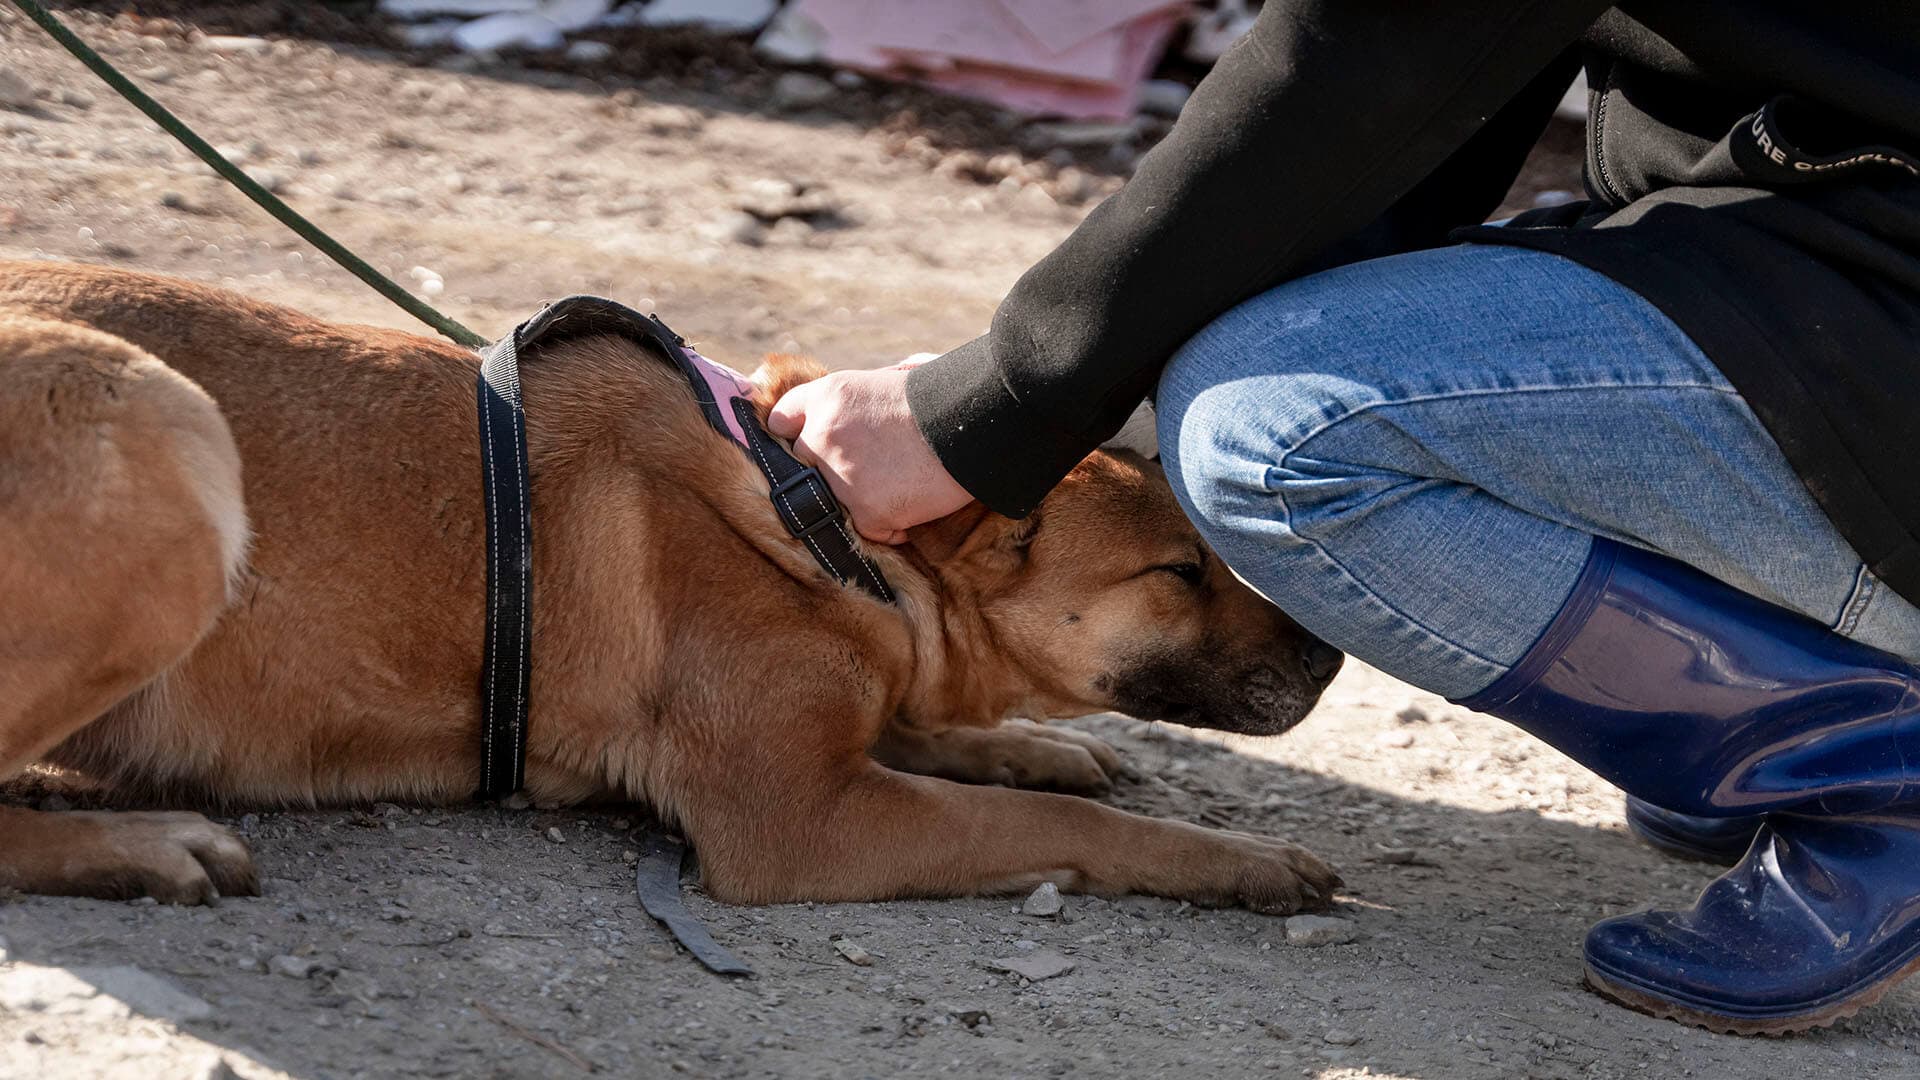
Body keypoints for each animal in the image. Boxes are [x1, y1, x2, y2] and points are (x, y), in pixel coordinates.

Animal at [0, 261, 1344, 907]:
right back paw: (135, 846)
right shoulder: (803, 818)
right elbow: (1061, 828)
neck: (818, 516)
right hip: (167, 435)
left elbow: (955, 739)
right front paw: (1235, 862)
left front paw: (1035, 745)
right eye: (1179, 571)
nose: (1333, 657)